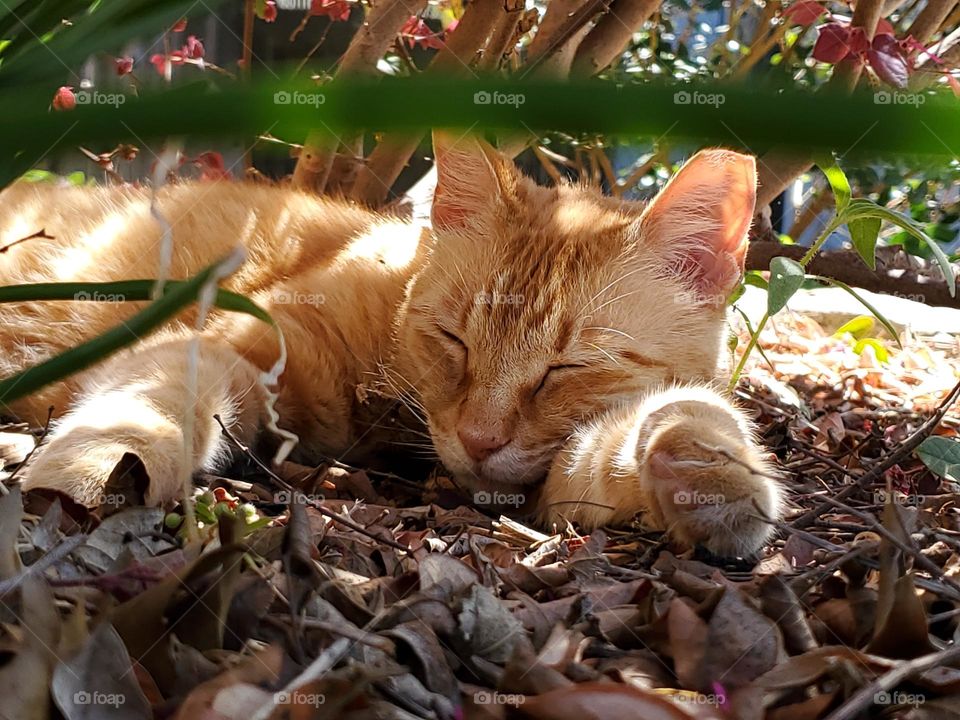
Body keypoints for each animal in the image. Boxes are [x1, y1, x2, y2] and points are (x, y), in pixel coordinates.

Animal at [0, 135, 780, 556]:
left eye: (569, 368)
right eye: (453, 338)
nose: (478, 439)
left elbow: (621, 447)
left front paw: (704, 463)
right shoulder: (219, 345)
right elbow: (152, 404)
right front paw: (88, 471)